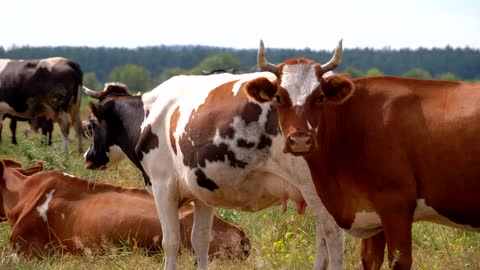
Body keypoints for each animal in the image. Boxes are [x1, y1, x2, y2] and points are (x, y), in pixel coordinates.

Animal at [83, 71, 344, 270]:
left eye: (91, 124)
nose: (88, 158)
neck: (150, 116)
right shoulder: (202, 192)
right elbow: (200, 240)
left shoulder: (162, 186)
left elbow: (171, 241)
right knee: (323, 239)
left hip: (315, 189)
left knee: (333, 236)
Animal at [246, 40, 480, 270]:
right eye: (278, 97)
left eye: (320, 97)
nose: (301, 140)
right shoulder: (371, 216)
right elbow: (370, 260)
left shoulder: (397, 205)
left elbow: (399, 260)